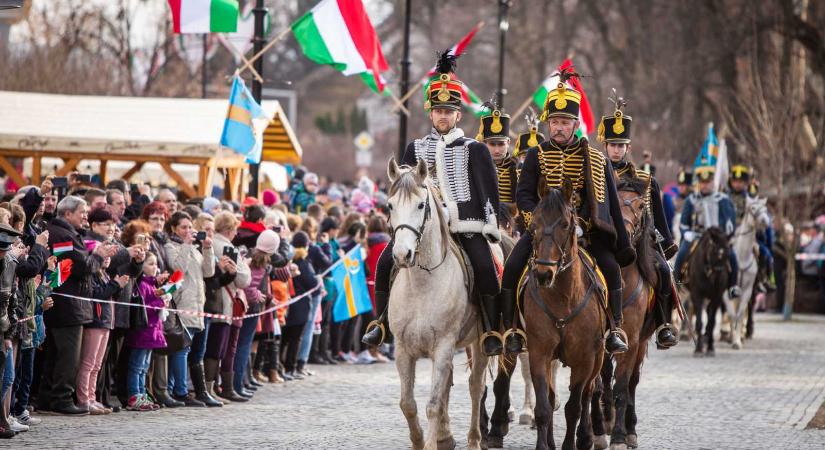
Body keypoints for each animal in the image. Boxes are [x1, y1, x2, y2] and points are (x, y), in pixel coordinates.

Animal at [384, 158, 492, 450]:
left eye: (421, 205)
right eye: (390, 205)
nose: (402, 255)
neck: (422, 285)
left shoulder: (443, 345)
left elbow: (432, 404)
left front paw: (430, 443)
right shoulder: (403, 349)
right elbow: (408, 403)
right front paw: (420, 441)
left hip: (480, 343)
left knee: (476, 386)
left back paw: (474, 439)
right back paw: (446, 436)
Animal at [520, 180, 604, 450]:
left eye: (566, 224)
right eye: (533, 225)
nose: (543, 274)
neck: (563, 298)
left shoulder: (585, 358)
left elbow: (574, 406)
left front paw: (571, 443)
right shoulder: (539, 352)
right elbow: (544, 406)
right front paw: (544, 445)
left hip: (599, 357)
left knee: (589, 394)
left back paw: (587, 437)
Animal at [588, 178, 660, 448]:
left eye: (640, 206)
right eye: (614, 202)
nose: (625, 237)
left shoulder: (632, 338)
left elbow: (622, 387)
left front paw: (619, 435)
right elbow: (597, 385)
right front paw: (599, 429)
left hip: (641, 342)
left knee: (632, 383)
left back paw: (630, 429)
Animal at [724, 195, 768, 350]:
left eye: (765, 208)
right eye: (753, 208)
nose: (765, 221)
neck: (741, 257)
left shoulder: (747, 290)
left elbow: (740, 314)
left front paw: (737, 341)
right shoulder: (726, 291)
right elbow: (731, 314)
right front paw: (732, 338)